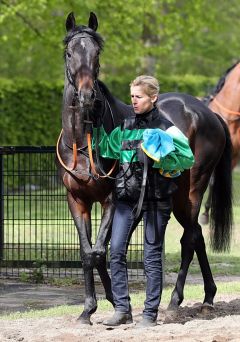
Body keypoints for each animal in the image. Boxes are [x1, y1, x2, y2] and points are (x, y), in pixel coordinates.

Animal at [56, 12, 232, 324]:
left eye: (97, 53)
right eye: (69, 52)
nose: (87, 96)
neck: (83, 142)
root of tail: (209, 113)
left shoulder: (111, 200)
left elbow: (99, 251)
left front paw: (107, 304)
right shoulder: (76, 200)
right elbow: (89, 252)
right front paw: (91, 308)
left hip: (191, 191)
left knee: (190, 238)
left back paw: (175, 301)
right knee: (197, 235)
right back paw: (208, 297)